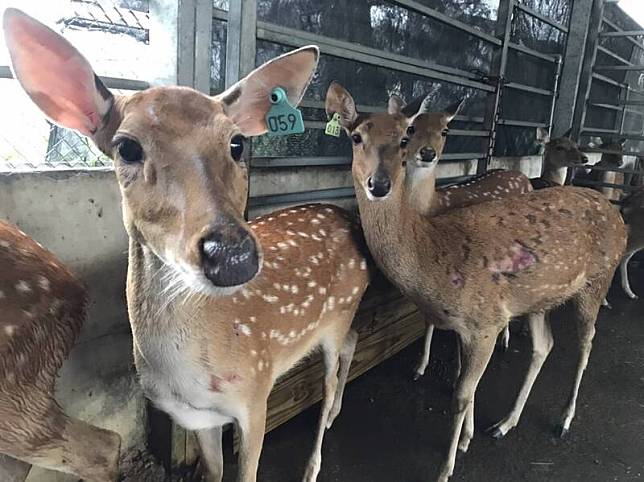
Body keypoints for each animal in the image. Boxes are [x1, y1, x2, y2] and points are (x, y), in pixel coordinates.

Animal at [384, 95, 532, 380]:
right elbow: (428, 319)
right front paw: (420, 366)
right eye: (410, 129)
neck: (433, 205)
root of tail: (525, 178)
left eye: (445, 131)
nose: (428, 153)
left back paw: (506, 339)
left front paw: (456, 371)